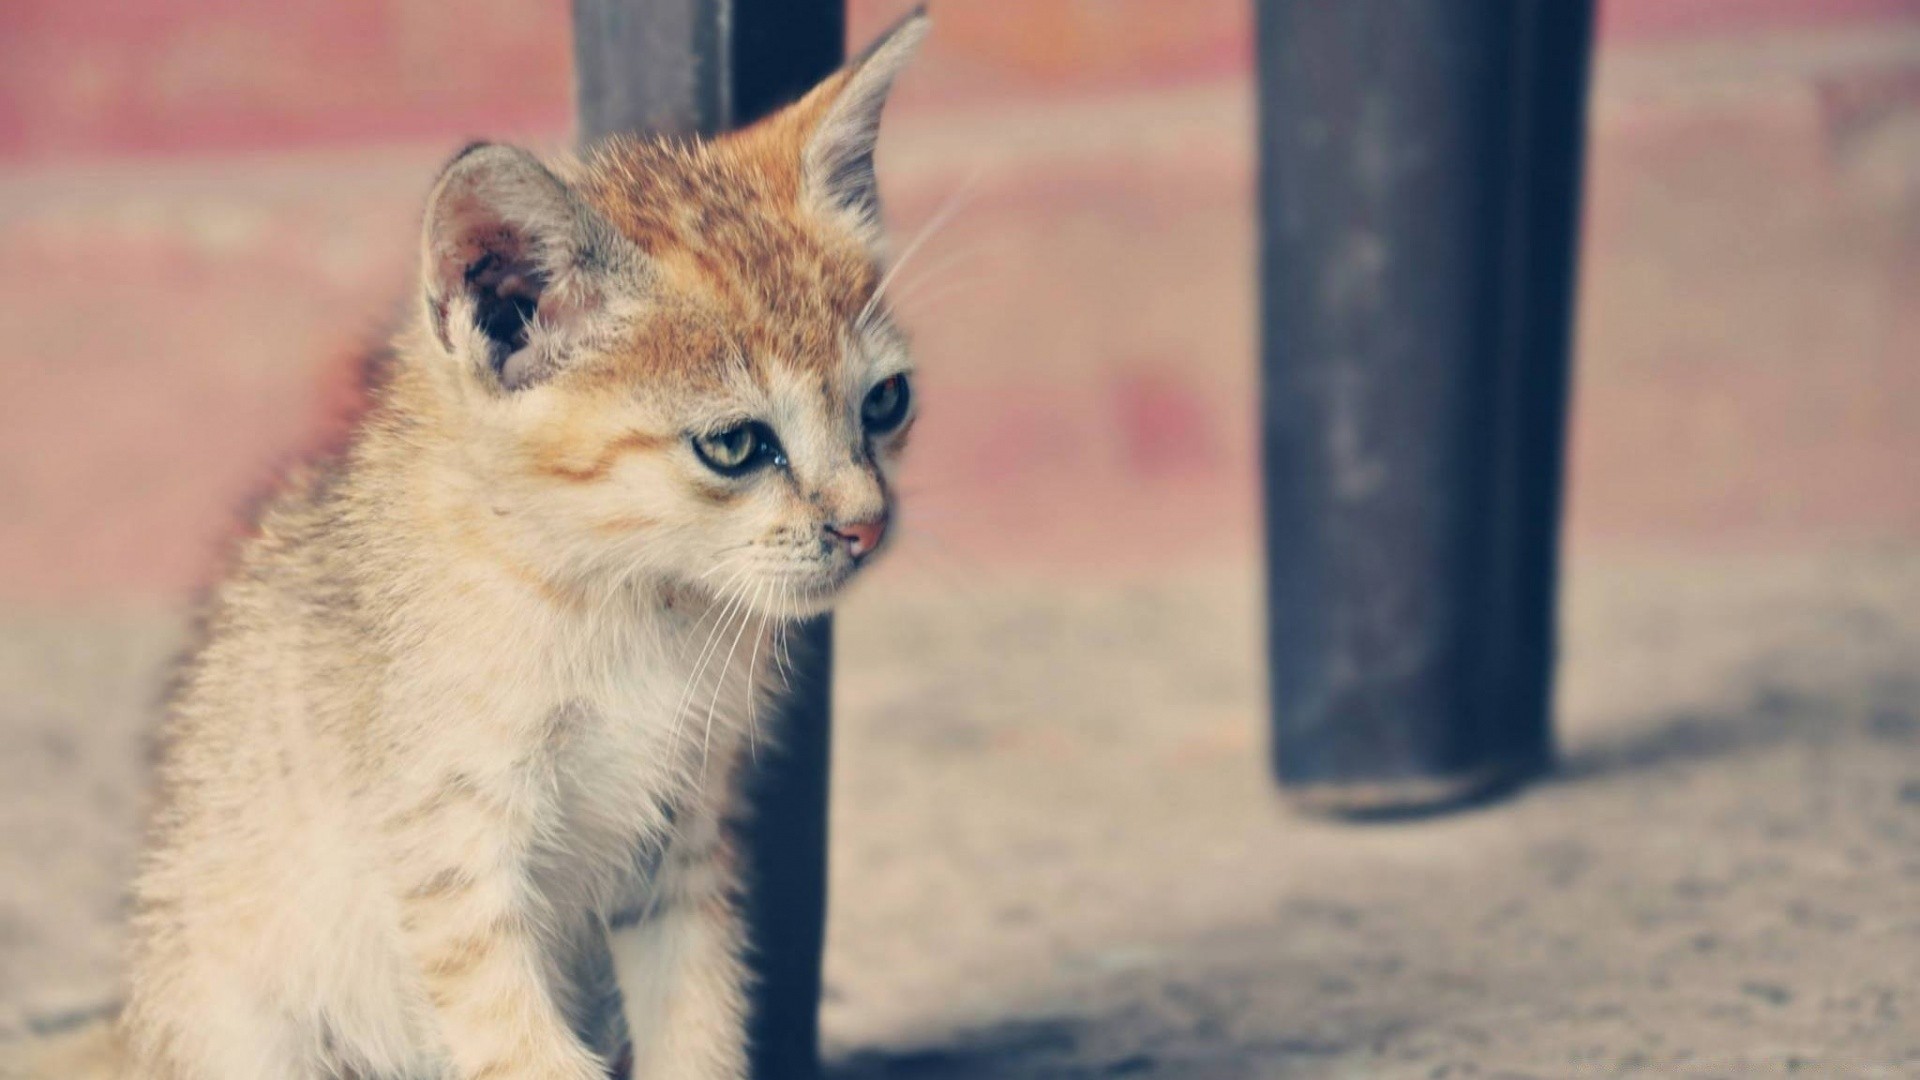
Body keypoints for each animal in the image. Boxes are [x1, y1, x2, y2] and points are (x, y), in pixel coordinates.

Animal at [1, 10, 929, 1076]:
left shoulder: (681, 846)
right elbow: (526, 1049)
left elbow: (699, 1020)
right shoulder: (452, 862)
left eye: (886, 401)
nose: (865, 523)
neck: (625, 604)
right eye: (735, 446)